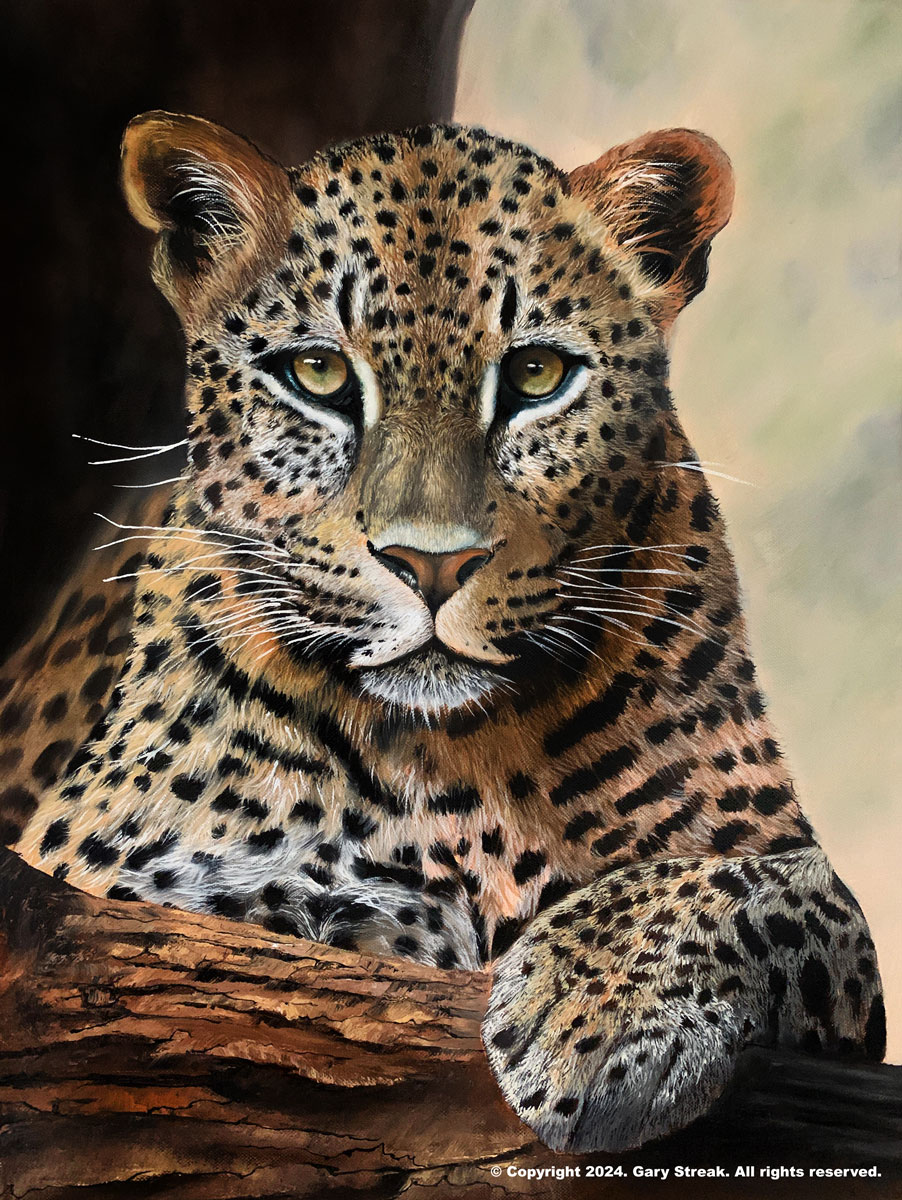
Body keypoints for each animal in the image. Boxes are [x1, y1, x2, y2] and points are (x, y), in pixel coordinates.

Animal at [0, 111, 885, 1153]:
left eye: (538, 374)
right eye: (317, 373)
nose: (429, 565)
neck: (460, 760)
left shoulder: (783, 870)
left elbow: (780, 886)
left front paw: (596, 1011)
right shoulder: (98, 877)